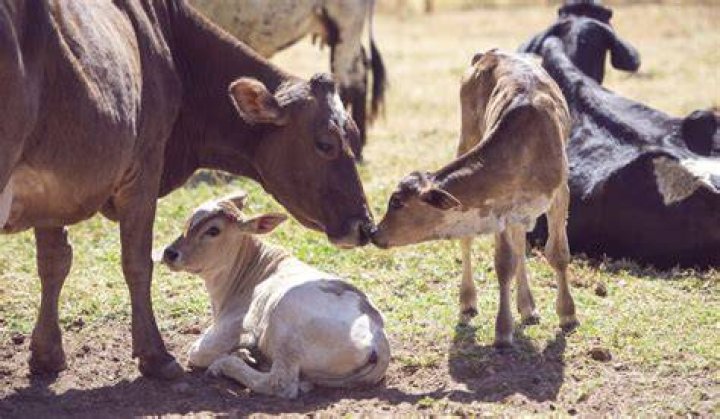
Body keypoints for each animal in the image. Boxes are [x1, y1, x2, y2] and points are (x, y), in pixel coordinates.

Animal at [161, 193, 389, 398]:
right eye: (189, 220)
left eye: (213, 230)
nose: (169, 253)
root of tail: (379, 337)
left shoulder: (232, 327)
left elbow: (196, 353)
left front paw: (237, 353)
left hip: (285, 327)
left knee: (280, 384)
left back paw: (227, 364)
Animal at [371, 50, 578, 347]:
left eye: (396, 202)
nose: (374, 232)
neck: (525, 147)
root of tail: (491, 53)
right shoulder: (498, 208)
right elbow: (504, 264)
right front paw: (503, 331)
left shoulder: (560, 192)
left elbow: (558, 254)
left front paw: (567, 314)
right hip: (466, 136)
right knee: (472, 240)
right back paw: (470, 302)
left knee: (520, 243)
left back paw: (528, 307)